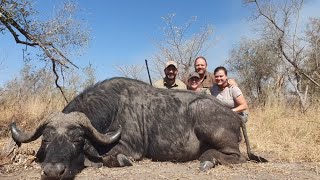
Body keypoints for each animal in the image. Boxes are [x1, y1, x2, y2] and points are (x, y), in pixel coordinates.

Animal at [9, 77, 268, 179]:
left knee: (236, 156)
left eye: (77, 139)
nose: (53, 171)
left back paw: (207, 160)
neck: (112, 107)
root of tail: (235, 117)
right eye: (46, 139)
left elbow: (109, 158)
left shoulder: (129, 149)